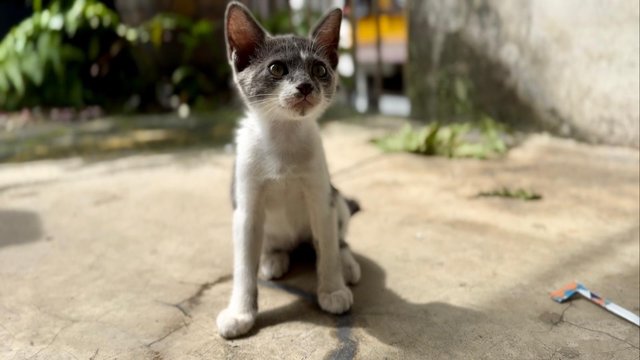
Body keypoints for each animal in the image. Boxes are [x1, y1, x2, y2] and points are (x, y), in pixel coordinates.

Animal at [218, 2, 360, 338]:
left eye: (320, 70)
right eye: (277, 69)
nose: (306, 86)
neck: (283, 139)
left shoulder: (322, 199)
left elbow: (328, 249)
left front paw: (332, 289)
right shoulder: (245, 207)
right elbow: (243, 266)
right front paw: (240, 313)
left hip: (337, 199)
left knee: (335, 238)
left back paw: (346, 263)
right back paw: (273, 258)